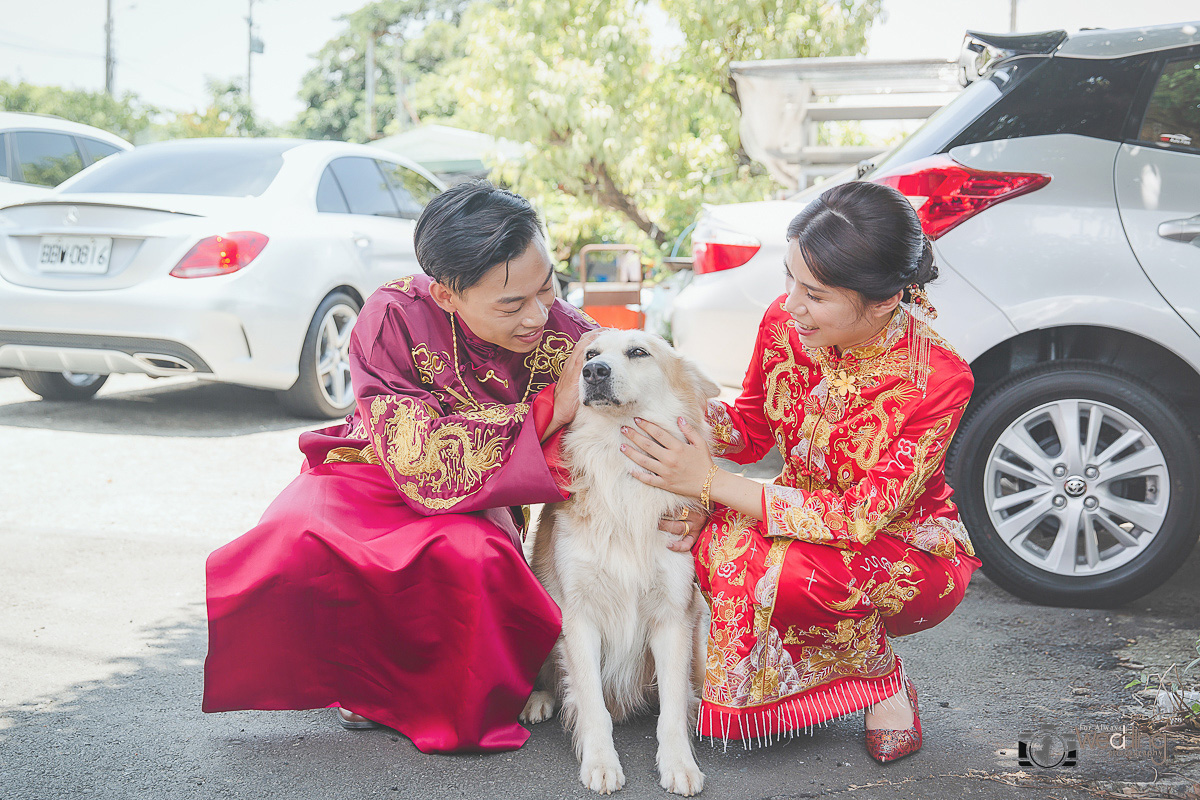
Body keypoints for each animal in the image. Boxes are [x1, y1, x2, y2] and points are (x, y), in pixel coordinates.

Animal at [520, 331, 715, 796]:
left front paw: (679, 763)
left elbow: (672, 707)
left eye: (639, 352)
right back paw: (539, 699)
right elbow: (592, 702)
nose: (594, 372)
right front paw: (601, 762)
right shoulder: (578, 616)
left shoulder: (673, 617)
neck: (618, 458)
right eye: (589, 355)